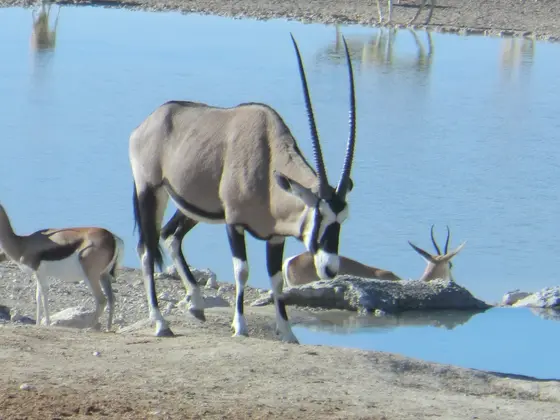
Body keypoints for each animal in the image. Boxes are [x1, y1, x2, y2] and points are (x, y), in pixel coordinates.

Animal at [0, 204, 123, 332]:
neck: (22, 244)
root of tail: (113, 238)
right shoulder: (38, 274)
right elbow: (38, 295)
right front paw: (38, 323)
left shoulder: (40, 272)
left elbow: (43, 295)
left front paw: (47, 324)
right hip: (104, 275)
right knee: (111, 299)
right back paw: (108, 328)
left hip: (91, 276)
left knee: (101, 300)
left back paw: (88, 328)